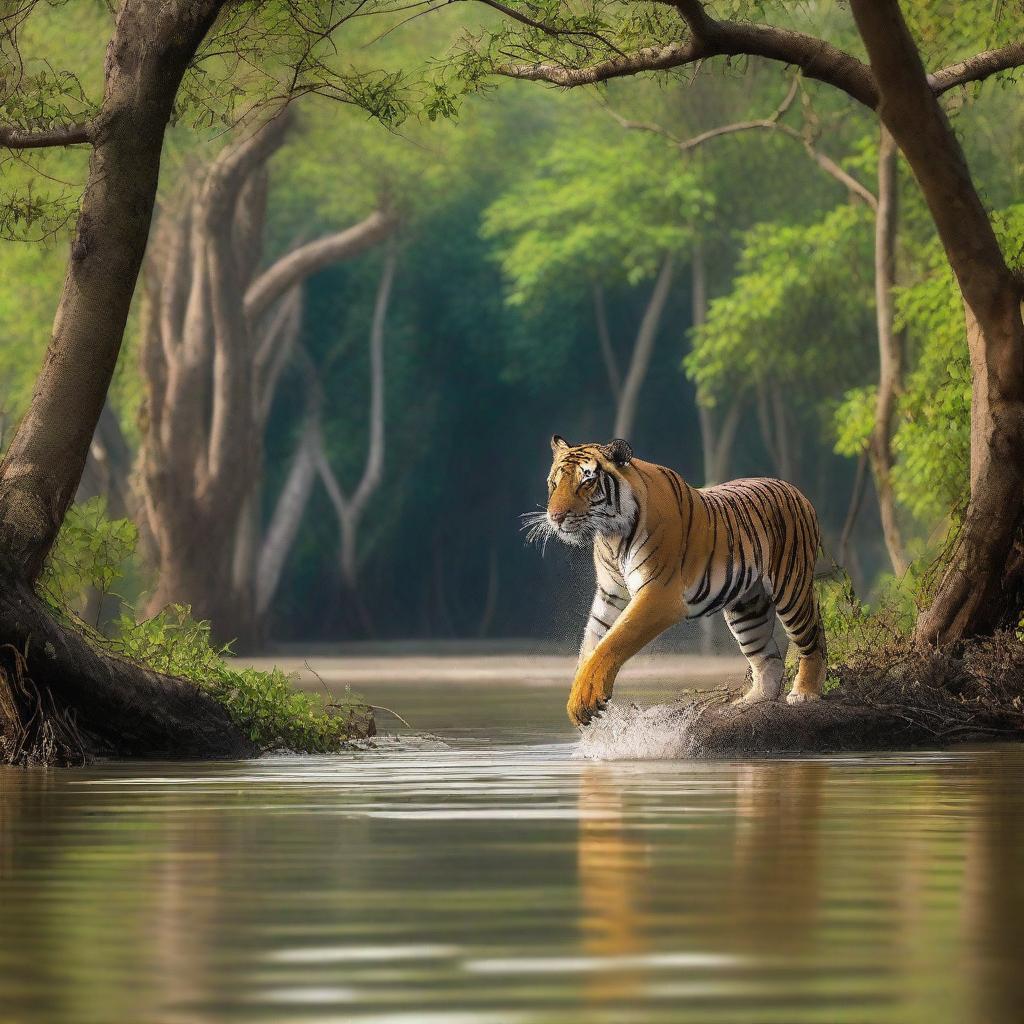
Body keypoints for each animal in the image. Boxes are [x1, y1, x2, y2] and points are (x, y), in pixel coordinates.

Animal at [524, 436, 827, 724]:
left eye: (586, 481)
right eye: (554, 483)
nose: (555, 517)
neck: (611, 536)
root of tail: (796, 491)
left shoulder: (658, 593)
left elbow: (613, 641)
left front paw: (585, 697)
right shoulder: (610, 594)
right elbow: (592, 642)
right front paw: (578, 698)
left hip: (791, 587)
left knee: (812, 639)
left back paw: (804, 693)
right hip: (747, 608)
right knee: (768, 659)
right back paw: (748, 703)